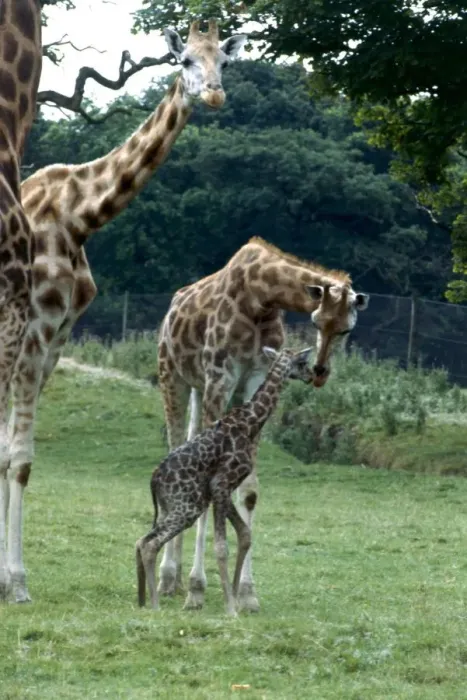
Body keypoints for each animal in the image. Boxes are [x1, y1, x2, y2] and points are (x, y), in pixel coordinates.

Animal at [3, 19, 246, 604]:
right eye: (185, 59)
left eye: (224, 62)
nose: (214, 93)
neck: (79, 216)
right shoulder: (33, 332)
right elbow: (16, 457)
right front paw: (16, 583)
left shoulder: (56, 339)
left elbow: (11, 453)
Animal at [136, 345, 314, 615]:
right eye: (303, 363)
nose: (313, 375)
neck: (250, 421)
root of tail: (154, 480)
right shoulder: (221, 483)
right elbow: (222, 547)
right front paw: (230, 608)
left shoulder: (224, 487)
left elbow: (245, 535)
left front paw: (238, 599)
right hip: (187, 506)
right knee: (149, 543)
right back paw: (156, 605)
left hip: (172, 507)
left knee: (142, 540)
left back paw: (143, 600)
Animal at [157, 237, 370, 612]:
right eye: (317, 322)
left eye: (346, 329)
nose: (320, 372)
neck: (261, 299)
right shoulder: (220, 378)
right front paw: (198, 590)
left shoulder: (253, 378)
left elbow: (250, 492)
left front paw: (247, 593)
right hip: (173, 378)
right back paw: (169, 578)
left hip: (199, 390)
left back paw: (177, 578)